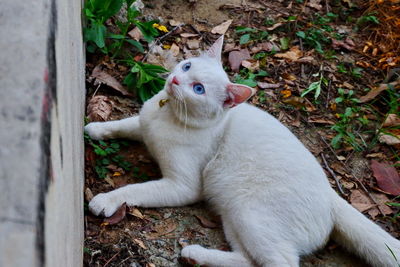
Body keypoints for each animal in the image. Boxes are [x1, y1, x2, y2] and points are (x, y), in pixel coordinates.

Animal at [86, 36, 398, 267]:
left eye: (198, 89)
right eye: (186, 66)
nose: (175, 81)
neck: (167, 114)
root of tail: (334, 199)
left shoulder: (183, 186)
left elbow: (136, 189)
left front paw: (106, 200)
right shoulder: (143, 123)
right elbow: (124, 124)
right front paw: (95, 128)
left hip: (249, 212)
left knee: (280, 263)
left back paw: (195, 254)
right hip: (234, 216)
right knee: (248, 260)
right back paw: (196, 256)